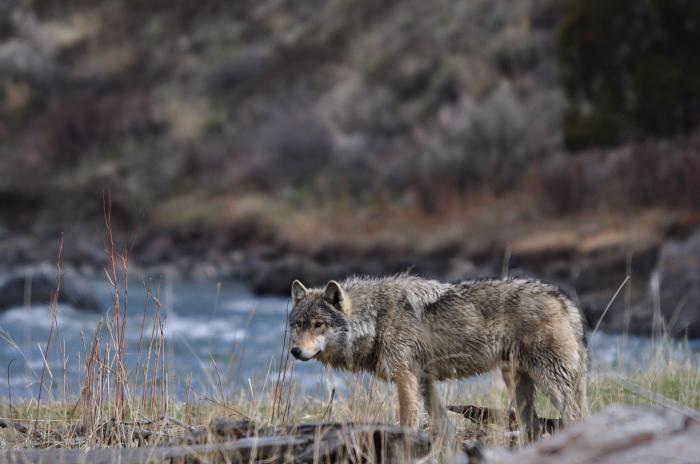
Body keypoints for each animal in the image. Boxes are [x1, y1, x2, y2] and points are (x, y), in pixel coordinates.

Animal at [288, 274, 588, 440]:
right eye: (297, 325)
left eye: (318, 325)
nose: (295, 351)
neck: (375, 319)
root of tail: (564, 301)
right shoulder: (425, 382)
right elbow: (443, 425)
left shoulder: (406, 379)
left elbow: (408, 420)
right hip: (518, 385)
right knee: (534, 427)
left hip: (551, 382)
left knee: (576, 416)